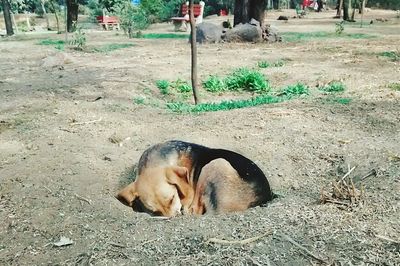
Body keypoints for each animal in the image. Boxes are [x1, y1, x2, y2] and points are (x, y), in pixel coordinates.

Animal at [115, 140, 272, 217]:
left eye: (172, 199)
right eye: (155, 212)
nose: (174, 219)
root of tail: (263, 198)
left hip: (216, 164)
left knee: (196, 209)